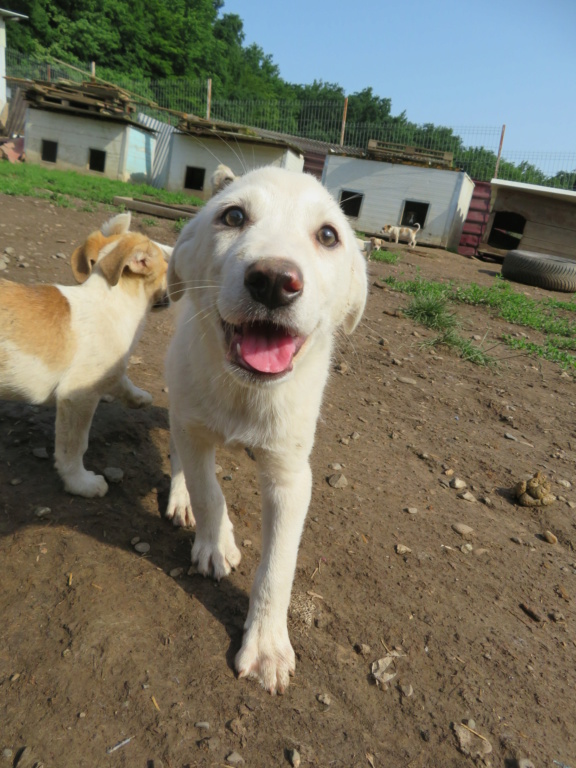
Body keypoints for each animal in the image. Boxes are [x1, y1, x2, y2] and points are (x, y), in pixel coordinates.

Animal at [0, 212, 171, 498]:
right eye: (168, 263)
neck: (114, 303)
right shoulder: (77, 396)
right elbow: (74, 446)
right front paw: (81, 482)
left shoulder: (107, 369)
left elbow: (123, 380)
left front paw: (139, 398)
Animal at [164, 168, 366, 696]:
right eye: (233, 216)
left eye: (328, 235)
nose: (274, 281)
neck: (246, 394)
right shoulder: (194, 430)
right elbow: (209, 492)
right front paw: (215, 544)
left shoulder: (291, 475)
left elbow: (279, 566)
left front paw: (268, 648)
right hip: (178, 395)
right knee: (179, 454)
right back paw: (181, 500)